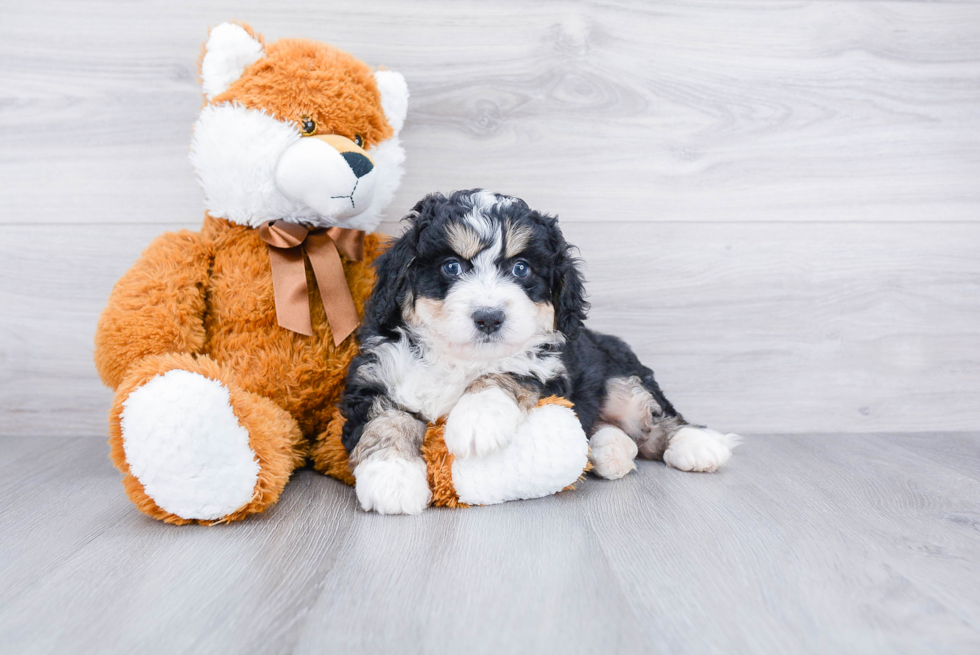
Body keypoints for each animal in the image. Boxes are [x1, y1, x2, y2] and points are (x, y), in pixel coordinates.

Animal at [340, 187, 740, 516]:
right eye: (451, 266)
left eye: (521, 268)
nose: (489, 317)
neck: (461, 358)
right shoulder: (375, 374)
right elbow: (384, 420)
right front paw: (391, 478)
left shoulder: (550, 367)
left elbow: (507, 370)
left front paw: (477, 417)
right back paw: (610, 449)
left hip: (619, 375)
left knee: (654, 415)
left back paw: (697, 444)